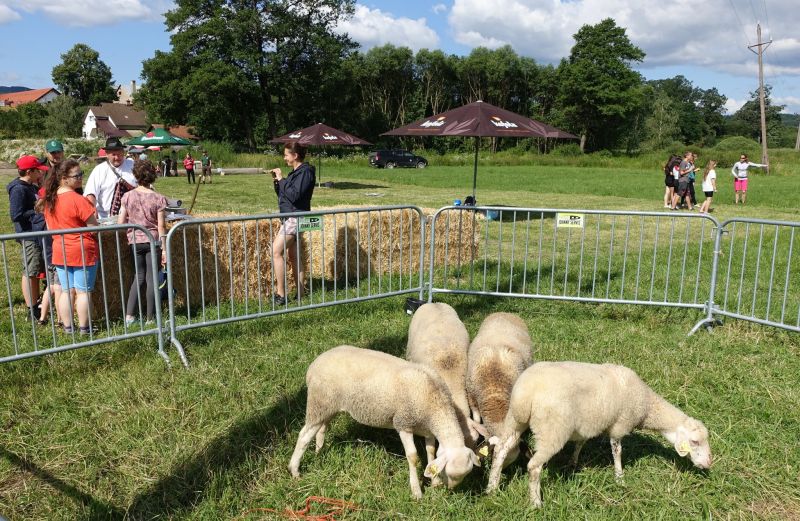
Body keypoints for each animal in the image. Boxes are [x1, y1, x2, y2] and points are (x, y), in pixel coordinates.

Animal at [288, 344, 478, 498]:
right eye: (450, 474)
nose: (450, 490)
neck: (436, 404)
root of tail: (314, 364)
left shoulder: (427, 429)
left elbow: (431, 452)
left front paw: (434, 481)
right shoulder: (403, 423)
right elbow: (413, 457)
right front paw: (416, 491)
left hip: (328, 406)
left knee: (322, 428)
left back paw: (319, 451)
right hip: (319, 402)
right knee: (304, 436)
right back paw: (294, 470)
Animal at [488, 360, 712, 506]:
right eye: (695, 442)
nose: (709, 463)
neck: (647, 405)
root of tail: (526, 393)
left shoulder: (588, 424)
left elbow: (581, 443)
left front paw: (574, 462)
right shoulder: (619, 426)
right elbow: (618, 452)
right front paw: (620, 478)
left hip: (515, 420)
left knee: (500, 450)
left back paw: (492, 488)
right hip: (552, 431)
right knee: (534, 466)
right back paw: (536, 503)